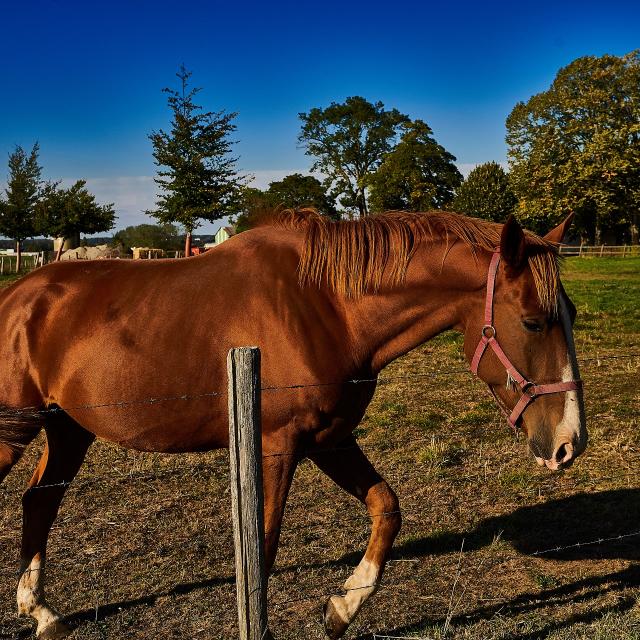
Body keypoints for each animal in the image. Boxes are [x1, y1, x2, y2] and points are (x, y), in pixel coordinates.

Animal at [0, 209, 588, 636]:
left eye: (572, 314)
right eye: (533, 322)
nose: (569, 443)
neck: (325, 306)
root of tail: (17, 295)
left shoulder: (330, 440)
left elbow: (387, 509)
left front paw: (342, 608)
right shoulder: (277, 445)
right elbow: (261, 547)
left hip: (68, 429)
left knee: (39, 501)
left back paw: (42, 613)